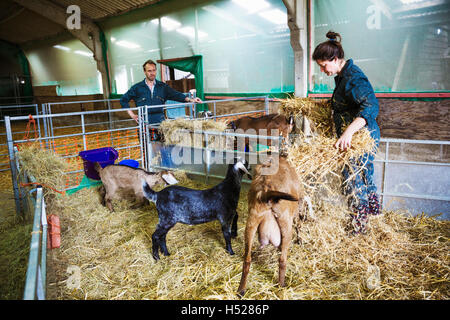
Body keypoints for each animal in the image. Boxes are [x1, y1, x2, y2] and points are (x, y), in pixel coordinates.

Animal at [237, 156, 304, 296]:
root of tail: (266, 192)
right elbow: (299, 225)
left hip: (251, 223)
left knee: (247, 260)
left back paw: (241, 290)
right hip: (286, 225)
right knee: (282, 260)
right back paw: (282, 286)